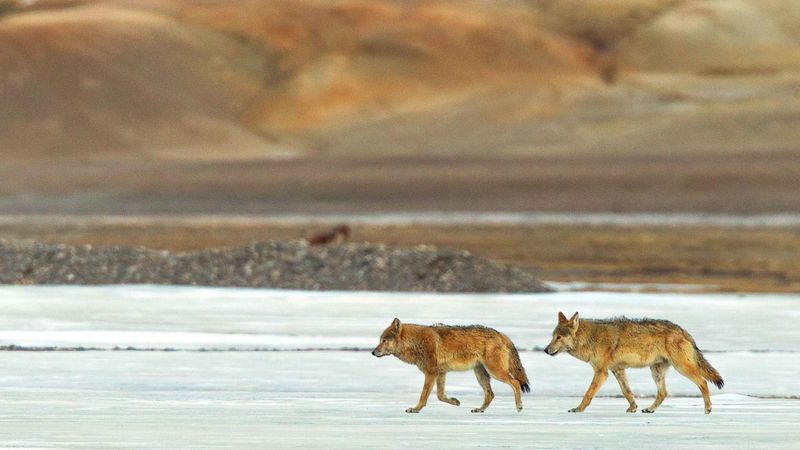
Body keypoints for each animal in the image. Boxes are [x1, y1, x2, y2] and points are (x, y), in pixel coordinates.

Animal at [370, 318, 532, 414]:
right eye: (380, 340)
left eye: (384, 341)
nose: (372, 352)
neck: (415, 343)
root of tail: (502, 334)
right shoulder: (441, 373)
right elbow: (440, 395)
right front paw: (455, 401)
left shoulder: (431, 373)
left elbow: (424, 395)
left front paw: (415, 409)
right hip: (481, 374)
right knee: (490, 394)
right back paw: (479, 410)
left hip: (494, 372)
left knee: (515, 383)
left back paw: (519, 406)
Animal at [544, 312, 724, 414]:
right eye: (552, 336)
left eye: (558, 337)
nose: (545, 350)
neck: (590, 338)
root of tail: (683, 330)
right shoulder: (617, 370)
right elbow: (627, 392)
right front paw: (633, 408)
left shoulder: (602, 372)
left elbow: (588, 394)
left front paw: (578, 409)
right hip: (656, 371)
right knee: (663, 393)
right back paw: (650, 409)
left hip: (681, 368)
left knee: (703, 382)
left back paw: (708, 409)